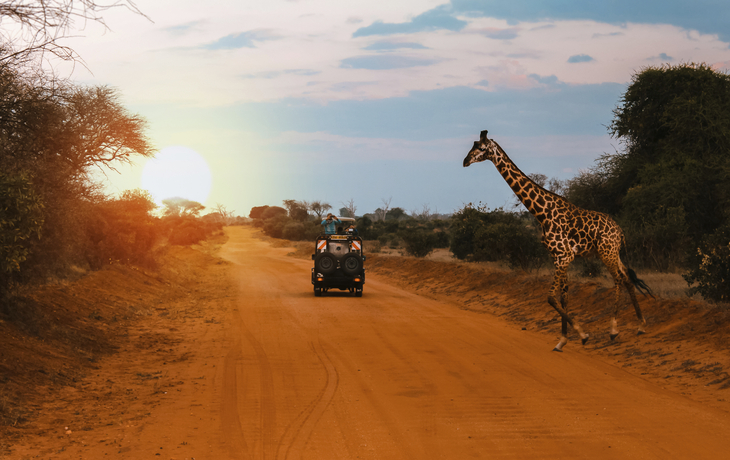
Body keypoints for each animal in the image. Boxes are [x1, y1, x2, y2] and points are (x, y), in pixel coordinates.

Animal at [463, 130, 652, 351]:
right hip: (611, 252)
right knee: (627, 277)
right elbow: (564, 297)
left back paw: (614, 330)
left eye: (481, 147)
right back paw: (640, 326)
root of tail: (620, 231)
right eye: (473, 144)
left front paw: (583, 335)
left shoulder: (564, 256)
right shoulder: (558, 257)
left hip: (607, 252)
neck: (542, 213)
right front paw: (562, 340)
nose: (465, 161)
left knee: (619, 279)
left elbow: (552, 297)